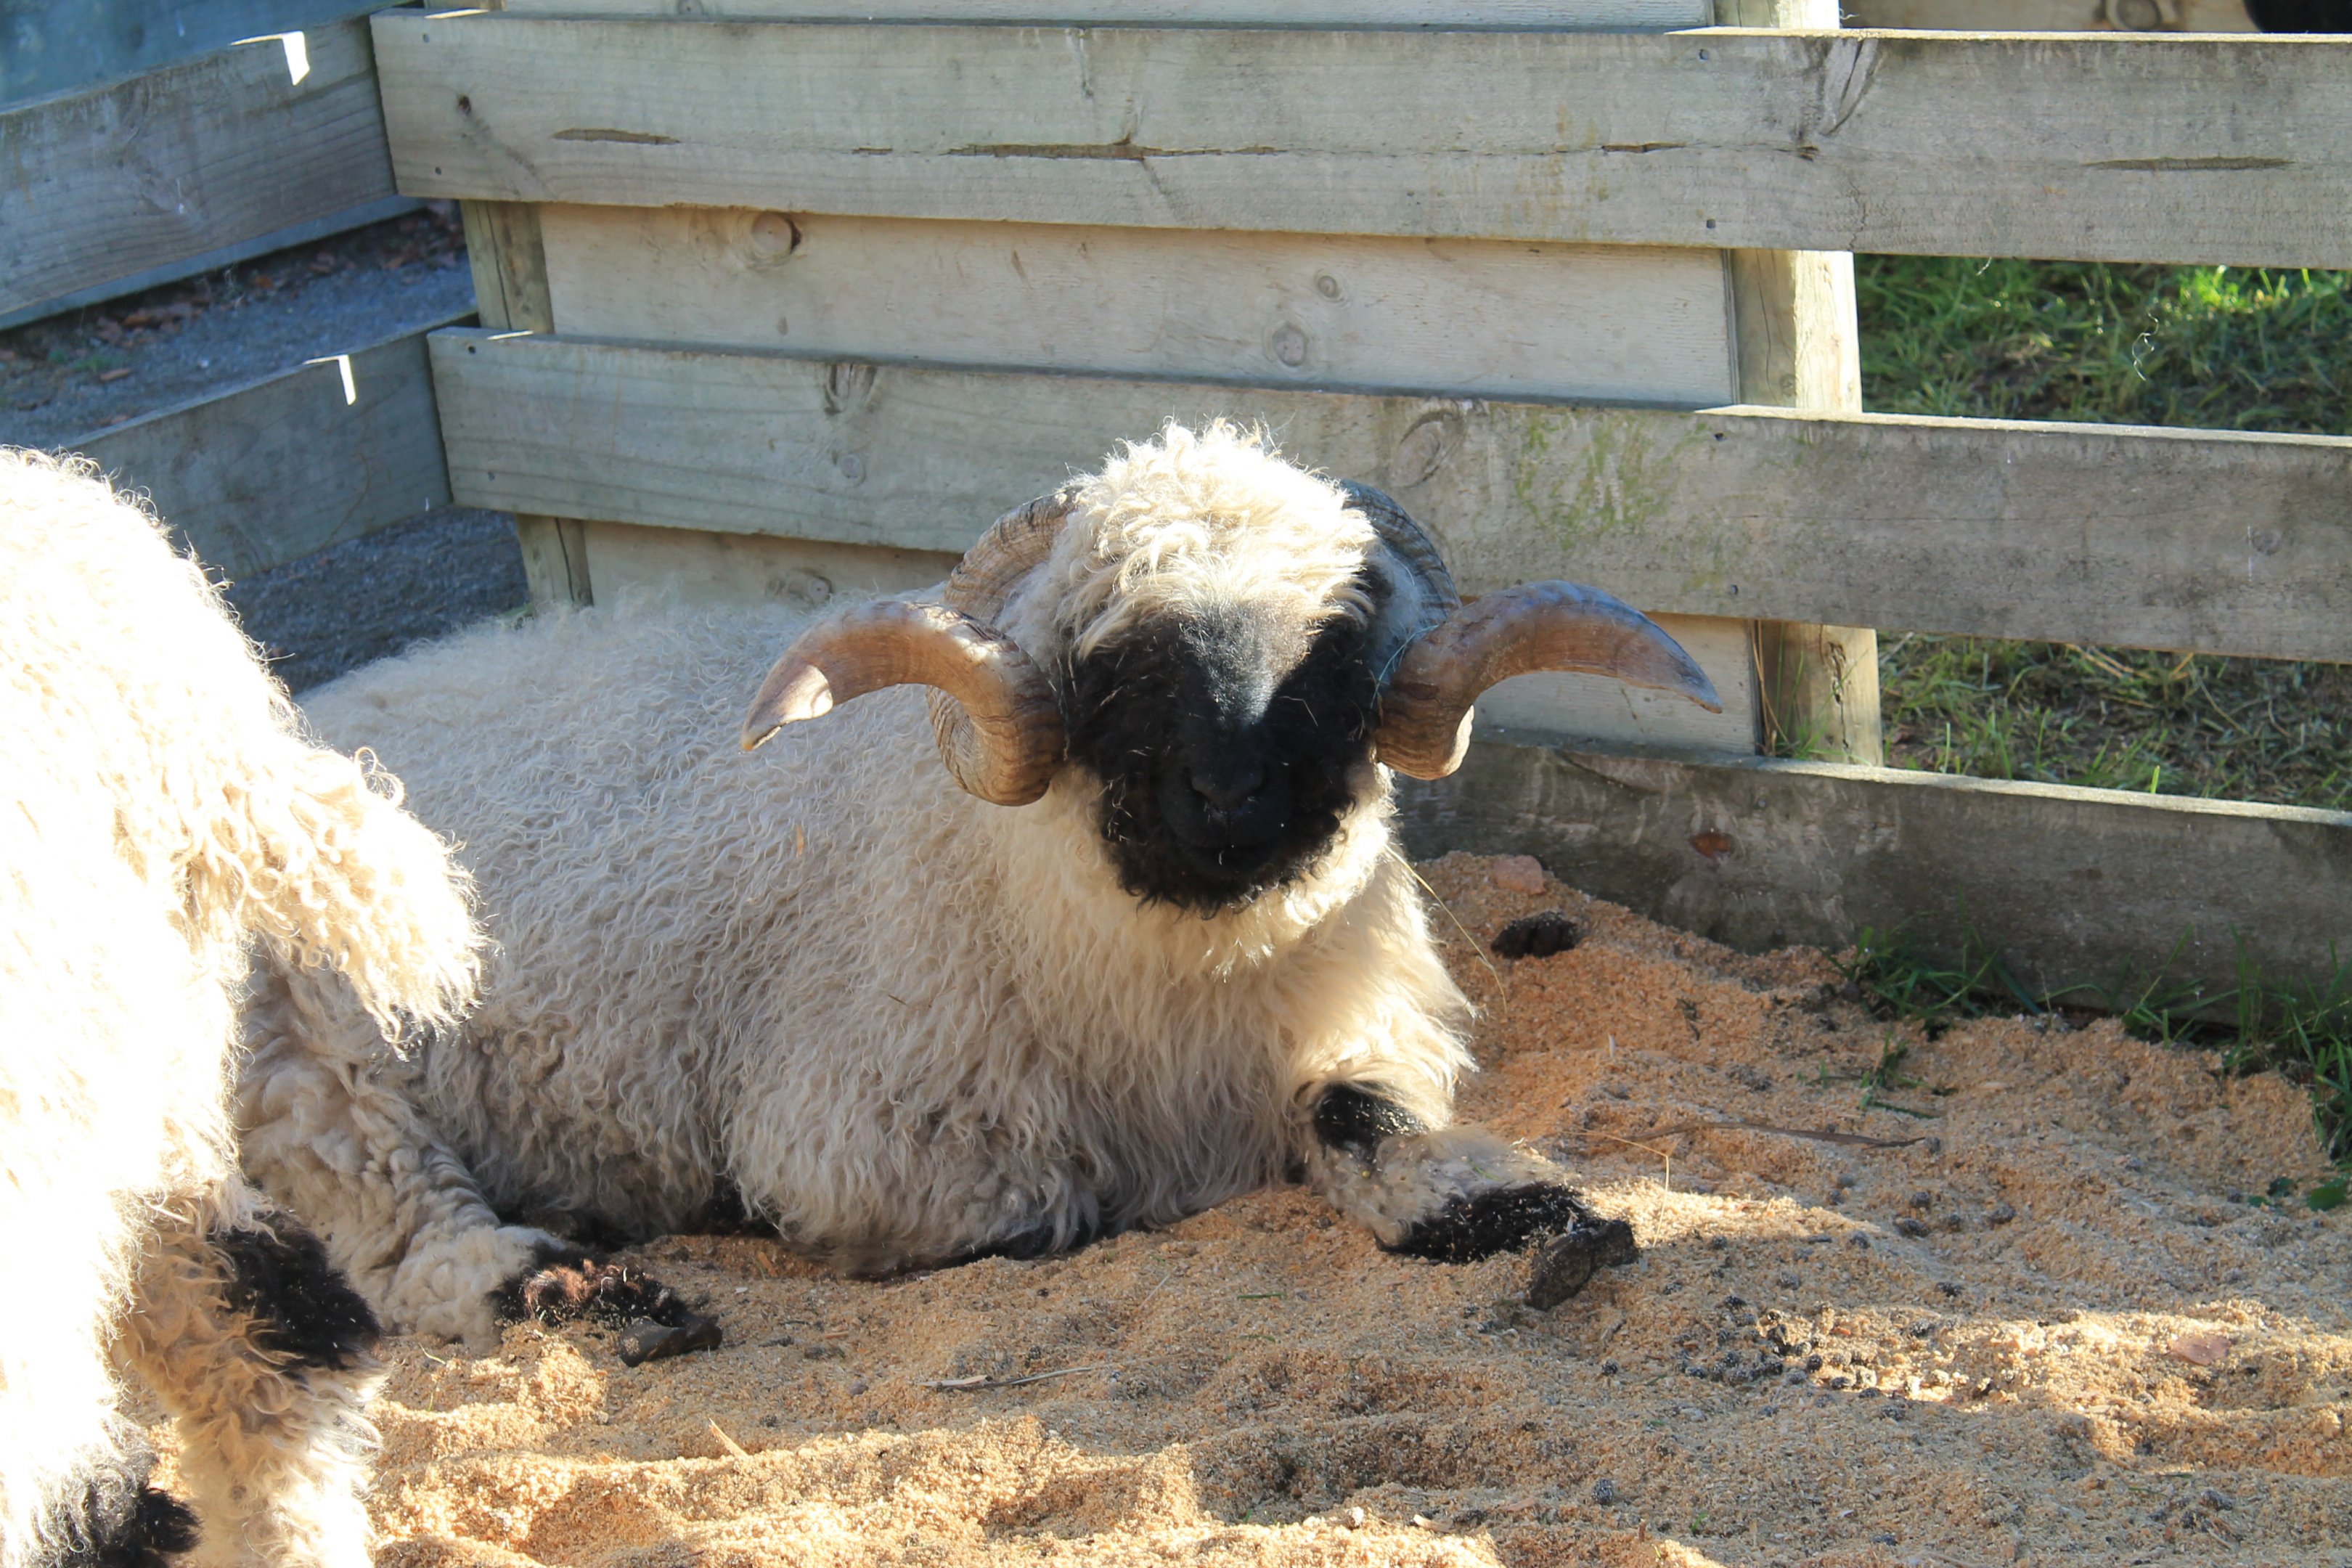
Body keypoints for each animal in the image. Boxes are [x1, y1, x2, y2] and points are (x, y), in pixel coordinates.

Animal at [235, 421, 1719, 1352]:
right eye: (1113, 663)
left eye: (1339, 653)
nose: (1233, 805)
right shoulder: (855, 1146)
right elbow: (1046, 1215)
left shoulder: (1362, 1021)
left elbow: (1366, 1116)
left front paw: (1527, 1213)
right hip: (308, 1044)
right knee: (382, 1221)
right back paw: (601, 1296)